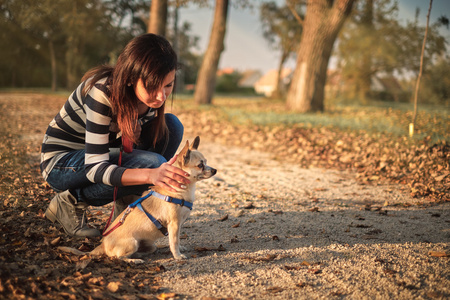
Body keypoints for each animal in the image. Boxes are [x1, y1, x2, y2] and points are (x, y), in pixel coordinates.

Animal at [59, 137, 217, 262]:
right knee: (118, 257)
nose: (215, 170)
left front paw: (180, 248)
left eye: (206, 162)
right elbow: (174, 241)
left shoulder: (178, 225)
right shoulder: (174, 223)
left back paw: (141, 255)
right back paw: (134, 261)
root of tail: (102, 244)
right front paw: (177, 256)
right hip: (132, 243)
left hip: (147, 245)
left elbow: (177, 239)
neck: (183, 189)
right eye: (200, 165)